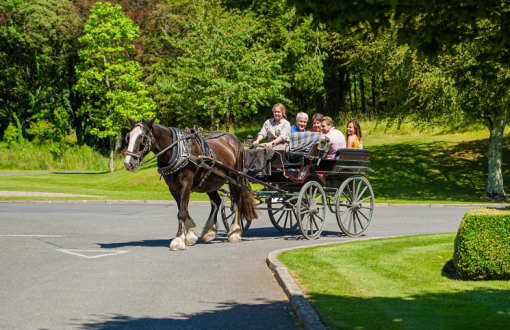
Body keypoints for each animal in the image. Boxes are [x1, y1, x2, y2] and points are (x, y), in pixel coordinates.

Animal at [124, 118, 258, 250]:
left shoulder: (186, 184)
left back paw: (235, 232)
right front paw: (191, 234)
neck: (178, 151)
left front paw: (178, 240)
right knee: (216, 201)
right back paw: (210, 231)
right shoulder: (173, 187)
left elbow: (182, 213)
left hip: (236, 177)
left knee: (237, 203)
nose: (128, 163)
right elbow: (182, 209)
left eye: (142, 137)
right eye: (128, 137)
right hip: (209, 181)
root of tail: (235, 138)